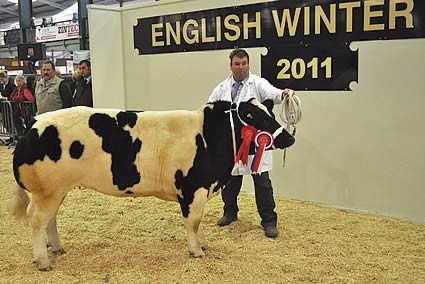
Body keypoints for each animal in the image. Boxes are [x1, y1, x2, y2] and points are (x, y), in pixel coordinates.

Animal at [10, 98, 294, 270]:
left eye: (271, 113)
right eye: (256, 117)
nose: (289, 138)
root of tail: (34, 122)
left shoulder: (198, 190)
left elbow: (197, 221)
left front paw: (202, 244)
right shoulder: (193, 188)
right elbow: (193, 221)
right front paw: (197, 251)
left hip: (56, 191)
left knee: (50, 219)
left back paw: (57, 248)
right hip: (46, 191)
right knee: (37, 219)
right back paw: (43, 260)